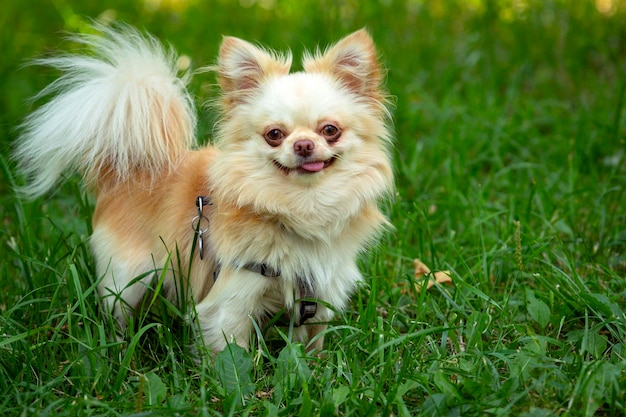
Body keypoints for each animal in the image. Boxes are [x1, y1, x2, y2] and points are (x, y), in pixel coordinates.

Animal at [15, 24, 390, 352]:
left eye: (330, 130)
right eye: (274, 134)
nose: (303, 145)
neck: (301, 207)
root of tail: (128, 166)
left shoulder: (319, 298)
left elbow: (310, 349)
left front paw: (311, 369)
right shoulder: (230, 304)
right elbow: (233, 357)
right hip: (126, 278)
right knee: (118, 314)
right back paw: (117, 351)